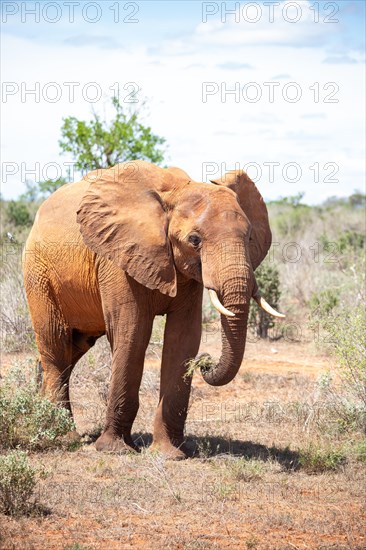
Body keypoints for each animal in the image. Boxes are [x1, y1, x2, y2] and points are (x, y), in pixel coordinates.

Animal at [23, 161, 284, 462]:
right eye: (194, 240)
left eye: (250, 236)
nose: (205, 363)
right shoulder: (118, 257)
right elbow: (132, 333)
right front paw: (115, 450)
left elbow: (183, 338)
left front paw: (170, 454)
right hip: (38, 273)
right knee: (55, 343)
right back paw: (63, 436)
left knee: (71, 350)